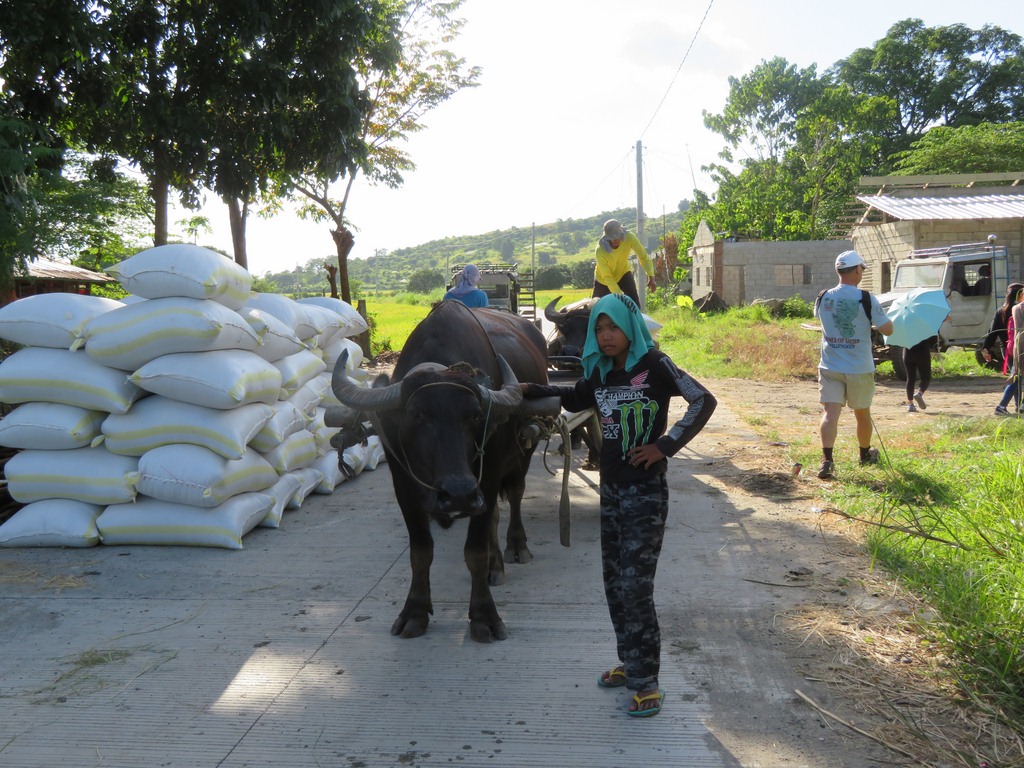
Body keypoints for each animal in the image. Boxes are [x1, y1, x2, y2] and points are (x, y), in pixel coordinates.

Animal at [330, 300, 550, 643]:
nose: (458, 495)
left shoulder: (487, 477)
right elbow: (420, 552)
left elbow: (474, 550)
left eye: (475, 416)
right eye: (416, 415)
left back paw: (516, 547)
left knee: (514, 495)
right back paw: (496, 565)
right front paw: (414, 613)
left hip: (523, 450)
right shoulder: (404, 485)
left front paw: (484, 616)